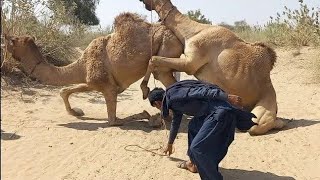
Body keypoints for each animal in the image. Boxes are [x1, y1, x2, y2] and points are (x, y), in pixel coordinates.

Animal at [3, 12, 182, 125]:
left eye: (13, 40)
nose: (4, 36)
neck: (82, 63)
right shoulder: (93, 82)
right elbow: (65, 90)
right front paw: (76, 112)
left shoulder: (108, 87)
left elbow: (113, 121)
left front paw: (150, 116)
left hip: (166, 46)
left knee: (163, 75)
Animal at [138, 0, 284, 135]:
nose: (142, 1)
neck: (192, 32)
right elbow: (156, 62)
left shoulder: (191, 63)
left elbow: (153, 59)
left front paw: (145, 90)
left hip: (263, 109)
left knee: (255, 126)